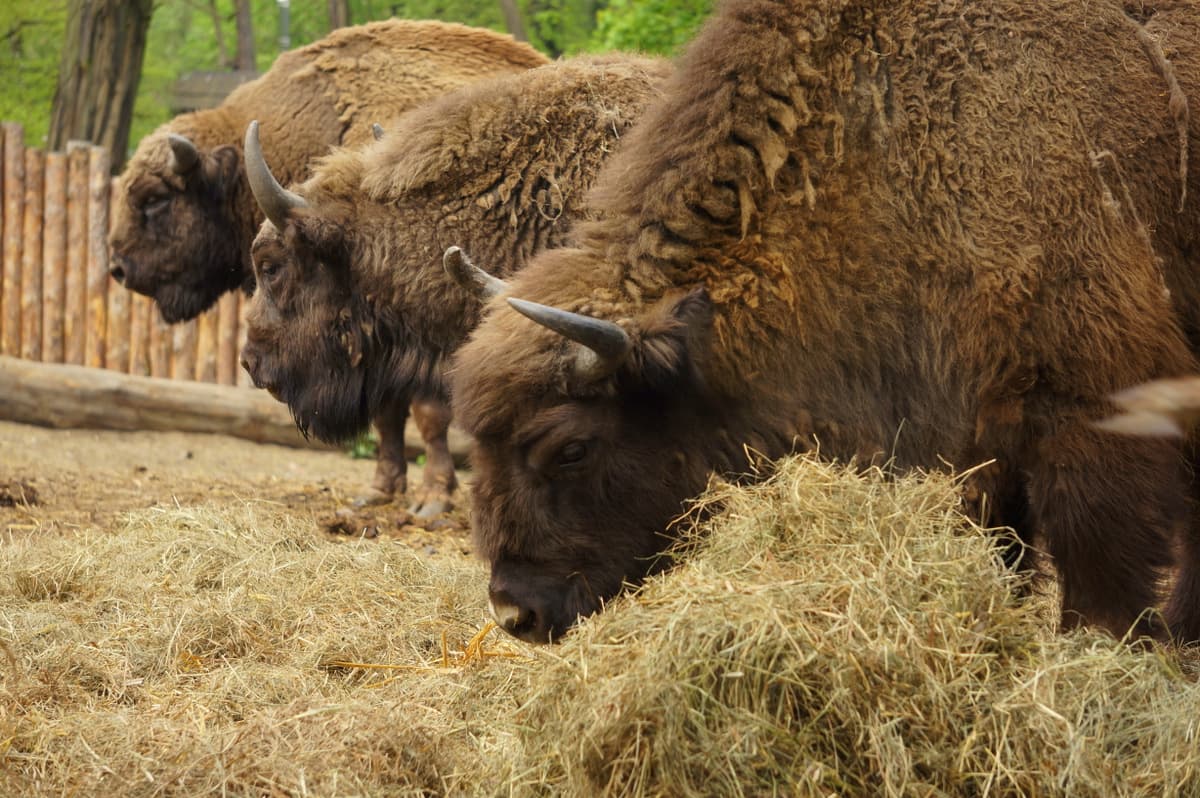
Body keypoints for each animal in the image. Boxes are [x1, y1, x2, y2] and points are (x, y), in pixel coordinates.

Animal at [108, 20, 549, 511]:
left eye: (155, 199)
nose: (118, 267)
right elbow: (387, 414)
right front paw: (378, 490)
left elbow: (429, 413)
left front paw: (432, 499)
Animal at [446, 0, 1200, 643]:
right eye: (479, 449)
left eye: (571, 448)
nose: (516, 613)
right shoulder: (967, 429)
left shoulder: (1091, 398)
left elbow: (1096, 549)